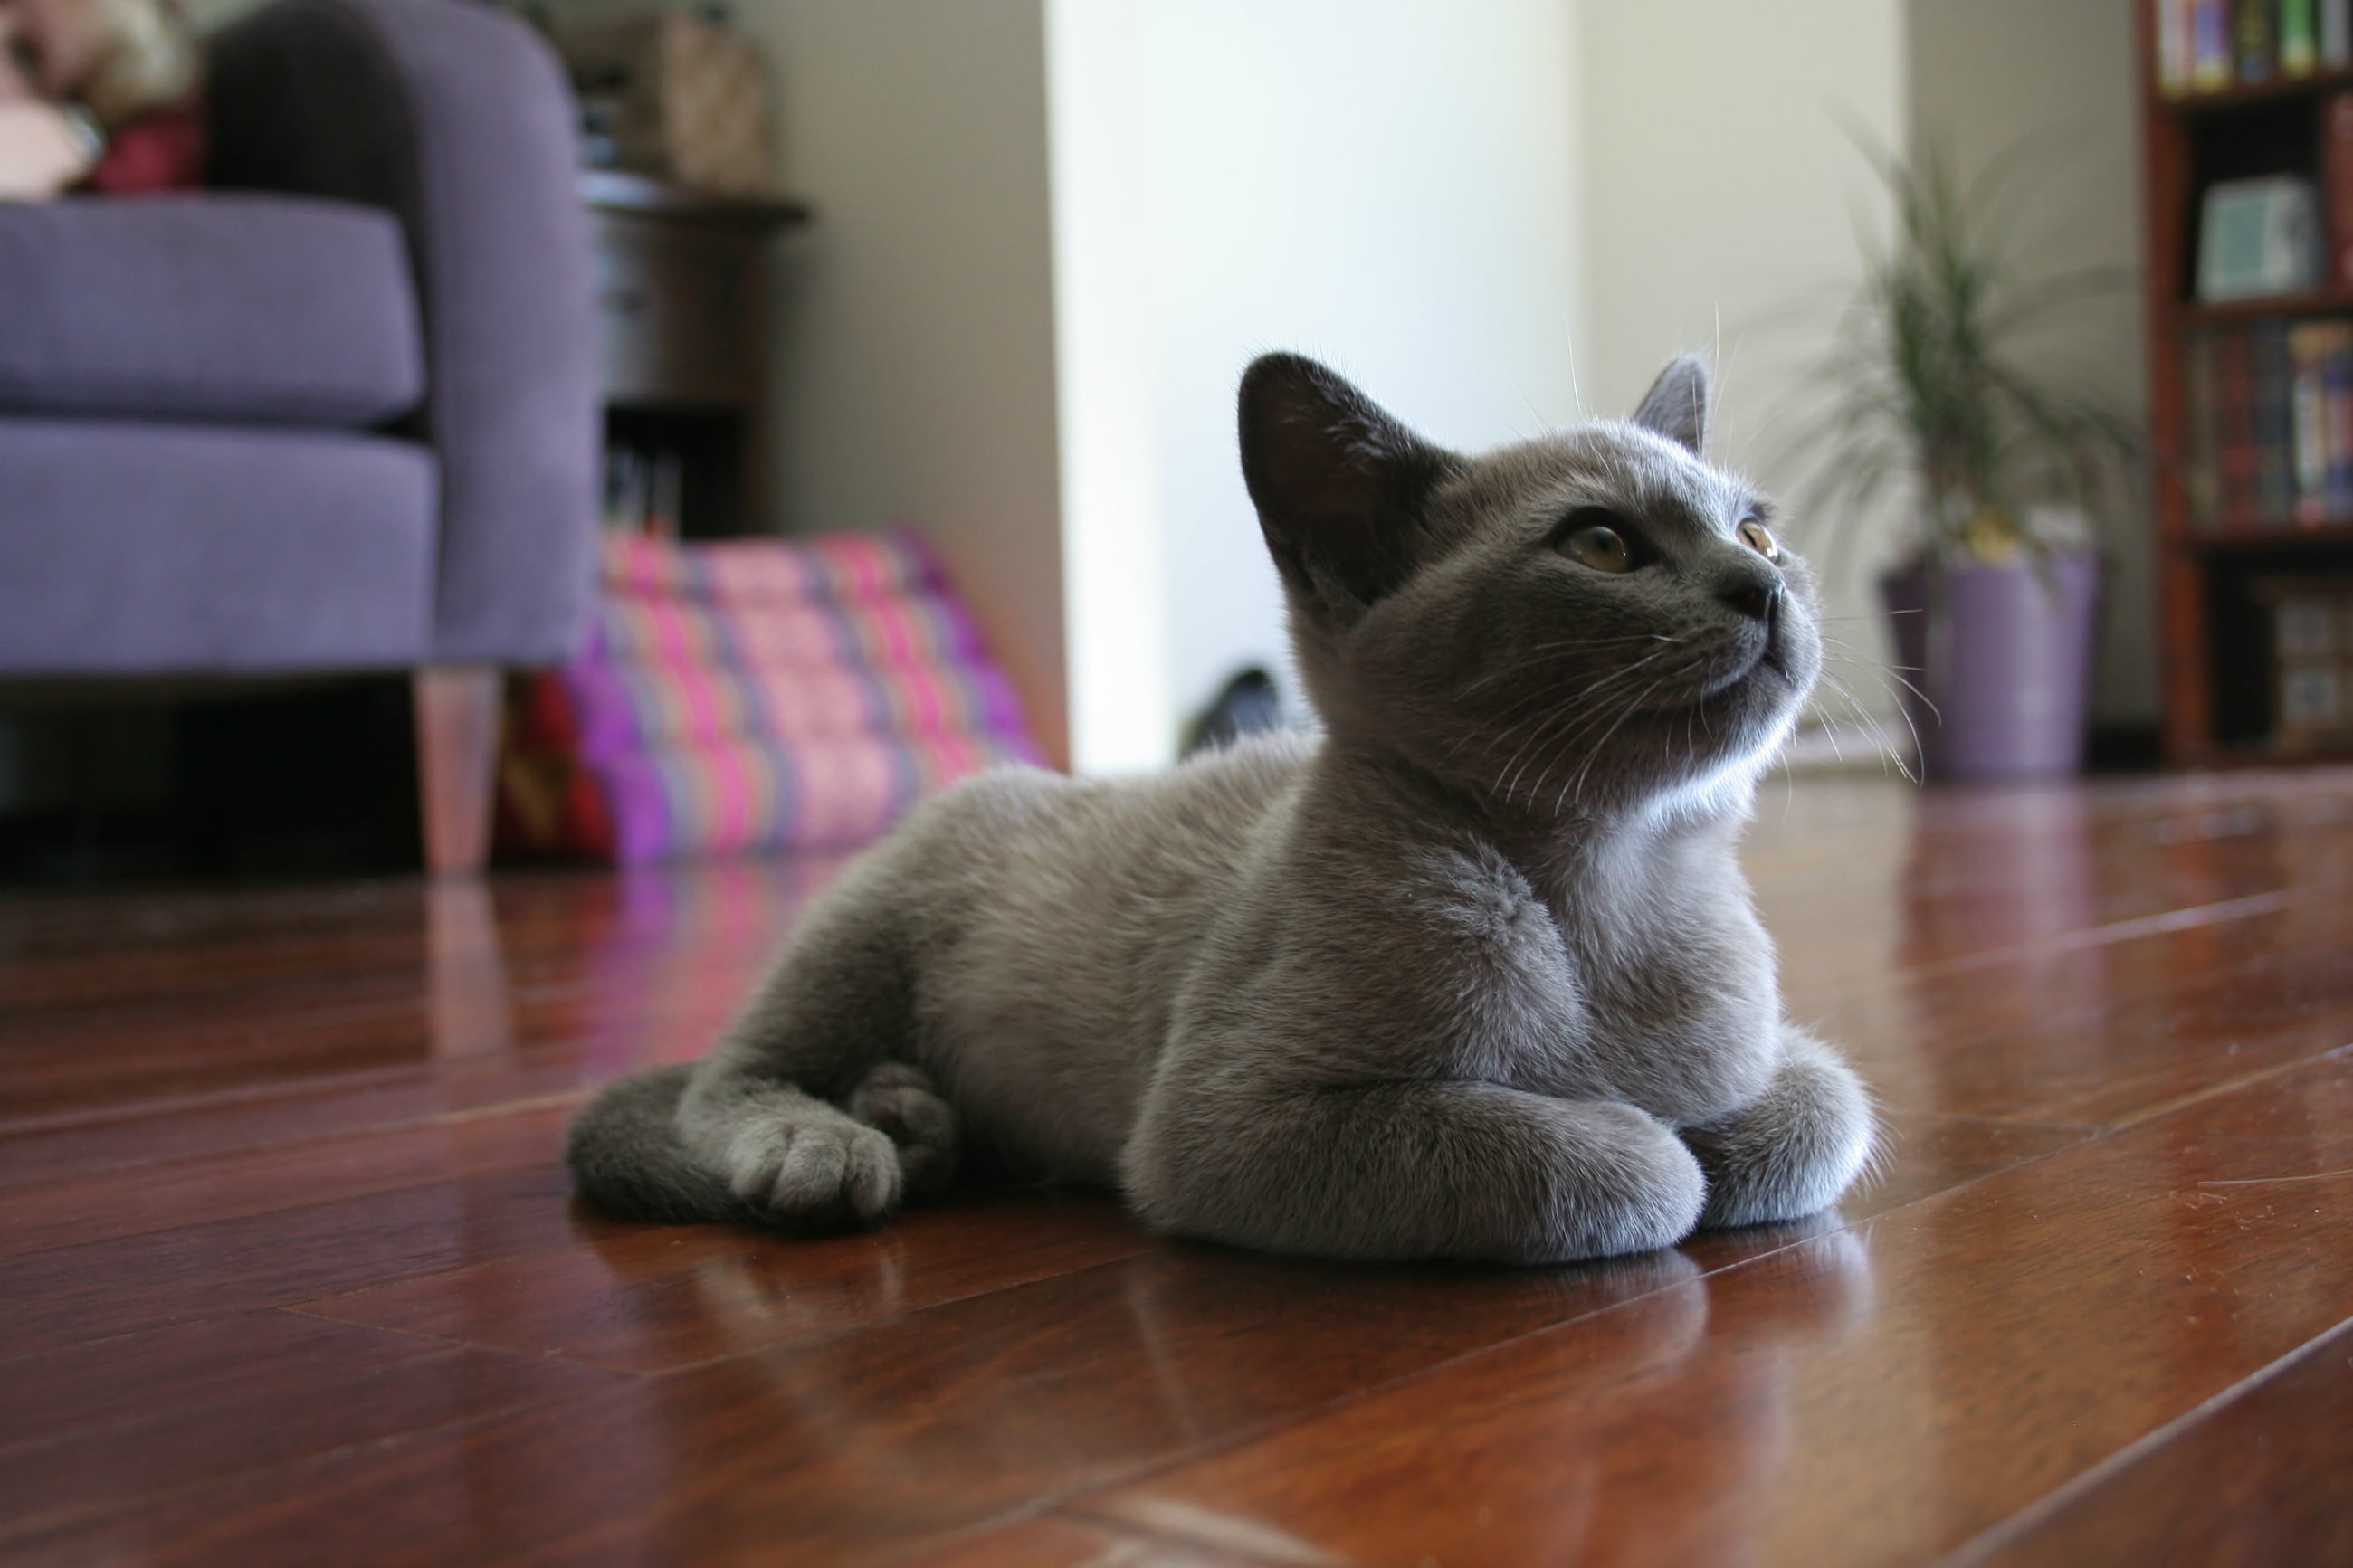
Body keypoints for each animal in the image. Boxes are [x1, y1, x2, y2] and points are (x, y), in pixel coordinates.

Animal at [569, 355, 1872, 1259]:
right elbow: (1606, 1160)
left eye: (1757, 529)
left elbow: (1822, 1111)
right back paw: (836, 1142)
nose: (1760, 586)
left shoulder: (1780, 1053)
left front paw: (1703, 1129)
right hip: (864, 933)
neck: (1614, 880)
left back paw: (915, 1116)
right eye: (1601, 544)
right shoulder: (1233, 1123)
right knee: (727, 1075)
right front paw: (1652, 1144)